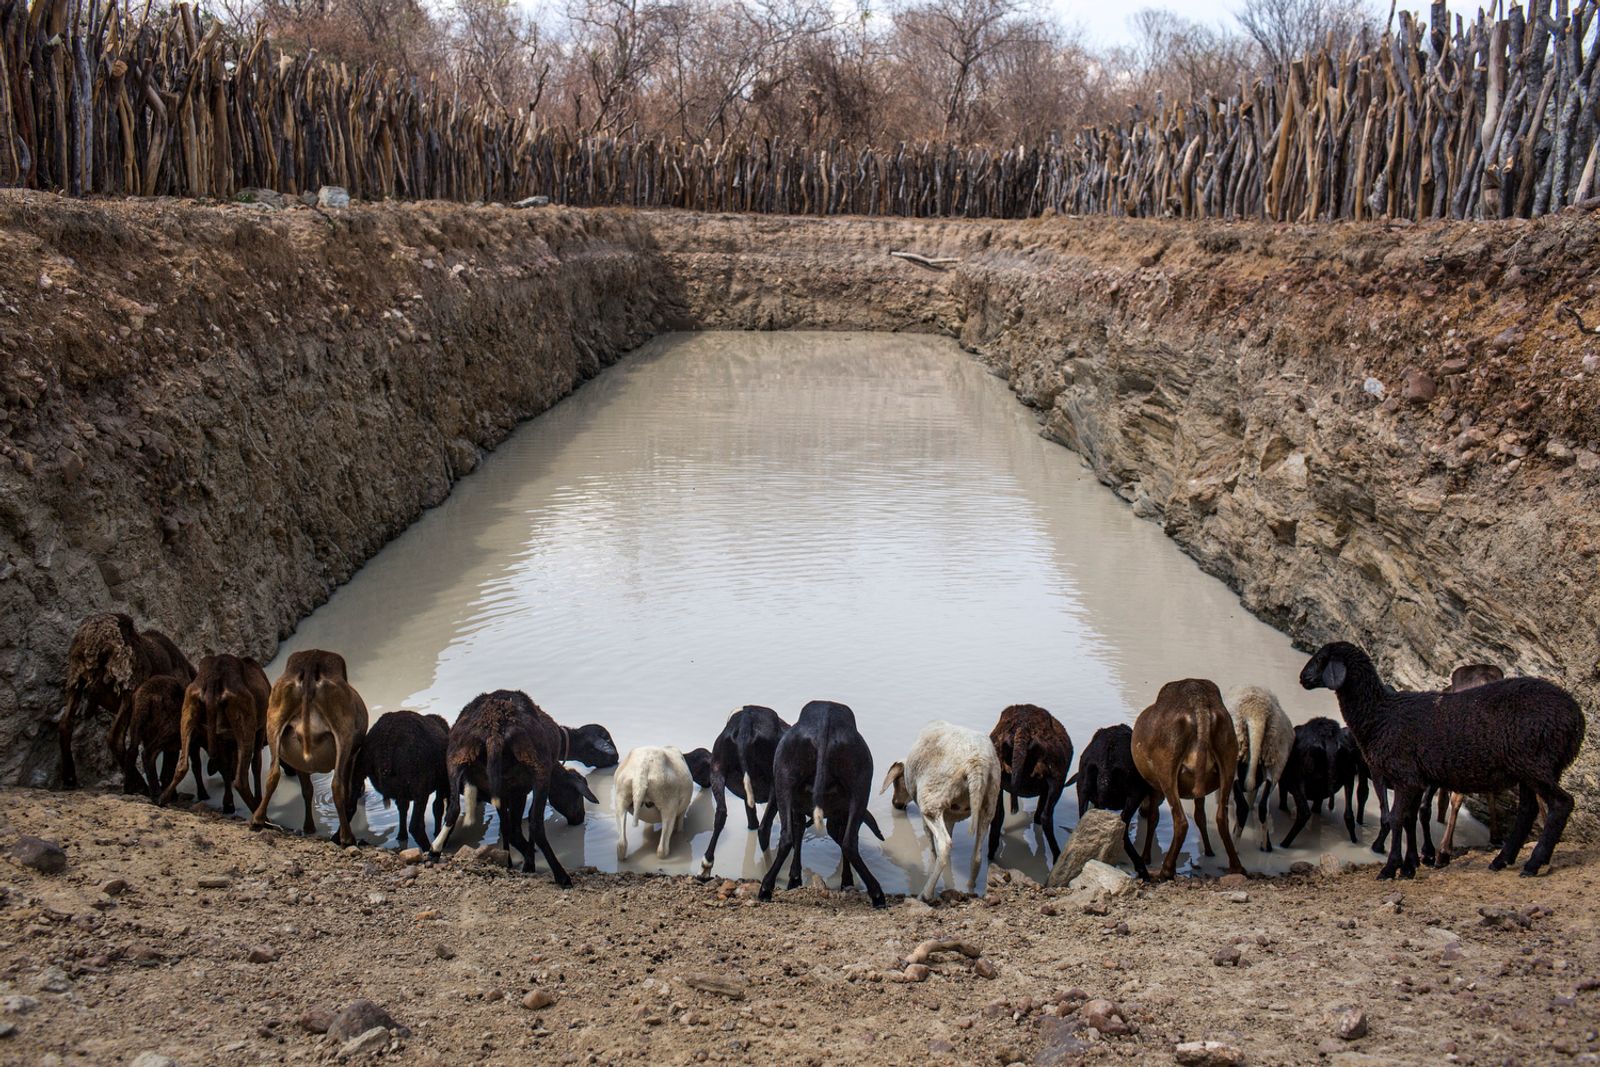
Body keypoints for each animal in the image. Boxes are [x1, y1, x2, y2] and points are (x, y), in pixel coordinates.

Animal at [59, 607, 193, 793]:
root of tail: (96, 640)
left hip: (75, 679)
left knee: (65, 724)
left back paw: (69, 778)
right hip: (128, 687)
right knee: (115, 738)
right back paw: (139, 785)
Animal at [249, 646, 368, 844]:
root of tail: (311, 662)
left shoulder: (298, 764)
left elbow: (307, 790)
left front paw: (309, 827)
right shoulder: (351, 756)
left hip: (274, 721)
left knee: (272, 774)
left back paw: (258, 820)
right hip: (343, 733)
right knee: (337, 786)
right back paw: (346, 837)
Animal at [876, 726, 998, 902]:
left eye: (896, 782)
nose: (895, 804)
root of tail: (977, 766)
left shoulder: (928, 812)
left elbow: (932, 846)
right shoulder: (950, 814)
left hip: (931, 802)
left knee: (944, 844)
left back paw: (926, 894)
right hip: (989, 804)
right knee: (976, 855)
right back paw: (970, 888)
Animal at [1126, 681, 1248, 883]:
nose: (1141, 811)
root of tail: (1199, 704)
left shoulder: (1154, 787)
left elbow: (1154, 818)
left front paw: (1146, 856)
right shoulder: (1201, 790)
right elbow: (1200, 816)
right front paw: (1208, 850)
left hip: (1166, 769)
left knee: (1181, 821)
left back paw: (1166, 869)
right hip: (1229, 758)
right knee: (1221, 816)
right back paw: (1236, 866)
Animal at [1228, 687, 1292, 857]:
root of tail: (1256, 713)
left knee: (1242, 808)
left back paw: (1234, 847)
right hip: (1275, 760)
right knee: (1263, 807)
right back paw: (1266, 846)